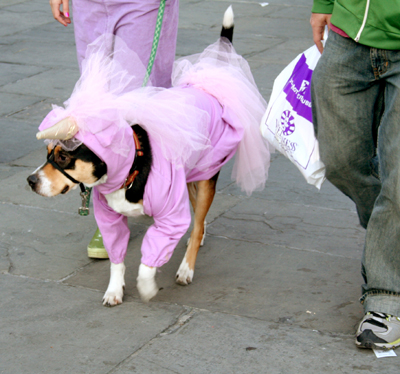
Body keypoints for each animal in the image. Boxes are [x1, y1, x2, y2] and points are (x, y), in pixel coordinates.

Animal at [27, 6, 272, 306]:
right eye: (47, 153)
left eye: (63, 158)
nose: (30, 180)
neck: (130, 166)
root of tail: (207, 84)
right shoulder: (110, 221)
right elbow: (117, 260)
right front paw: (114, 290)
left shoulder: (171, 217)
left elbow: (147, 263)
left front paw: (146, 288)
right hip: (191, 176)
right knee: (198, 219)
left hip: (206, 176)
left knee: (197, 223)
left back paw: (187, 267)